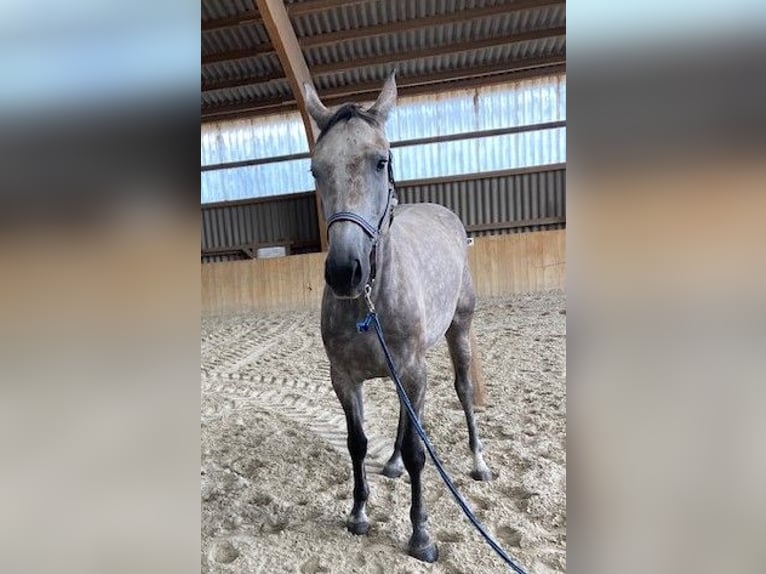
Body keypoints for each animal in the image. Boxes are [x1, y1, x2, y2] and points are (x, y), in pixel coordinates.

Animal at [304, 74, 492, 564]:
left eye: (381, 161)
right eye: (315, 170)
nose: (345, 271)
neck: (369, 300)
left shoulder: (411, 368)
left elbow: (417, 452)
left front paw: (421, 534)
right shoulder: (344, 377)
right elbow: (357, 443)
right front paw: (358, 513)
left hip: (458, 332)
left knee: (462, 392)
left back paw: (479, 461)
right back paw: (389, 464)